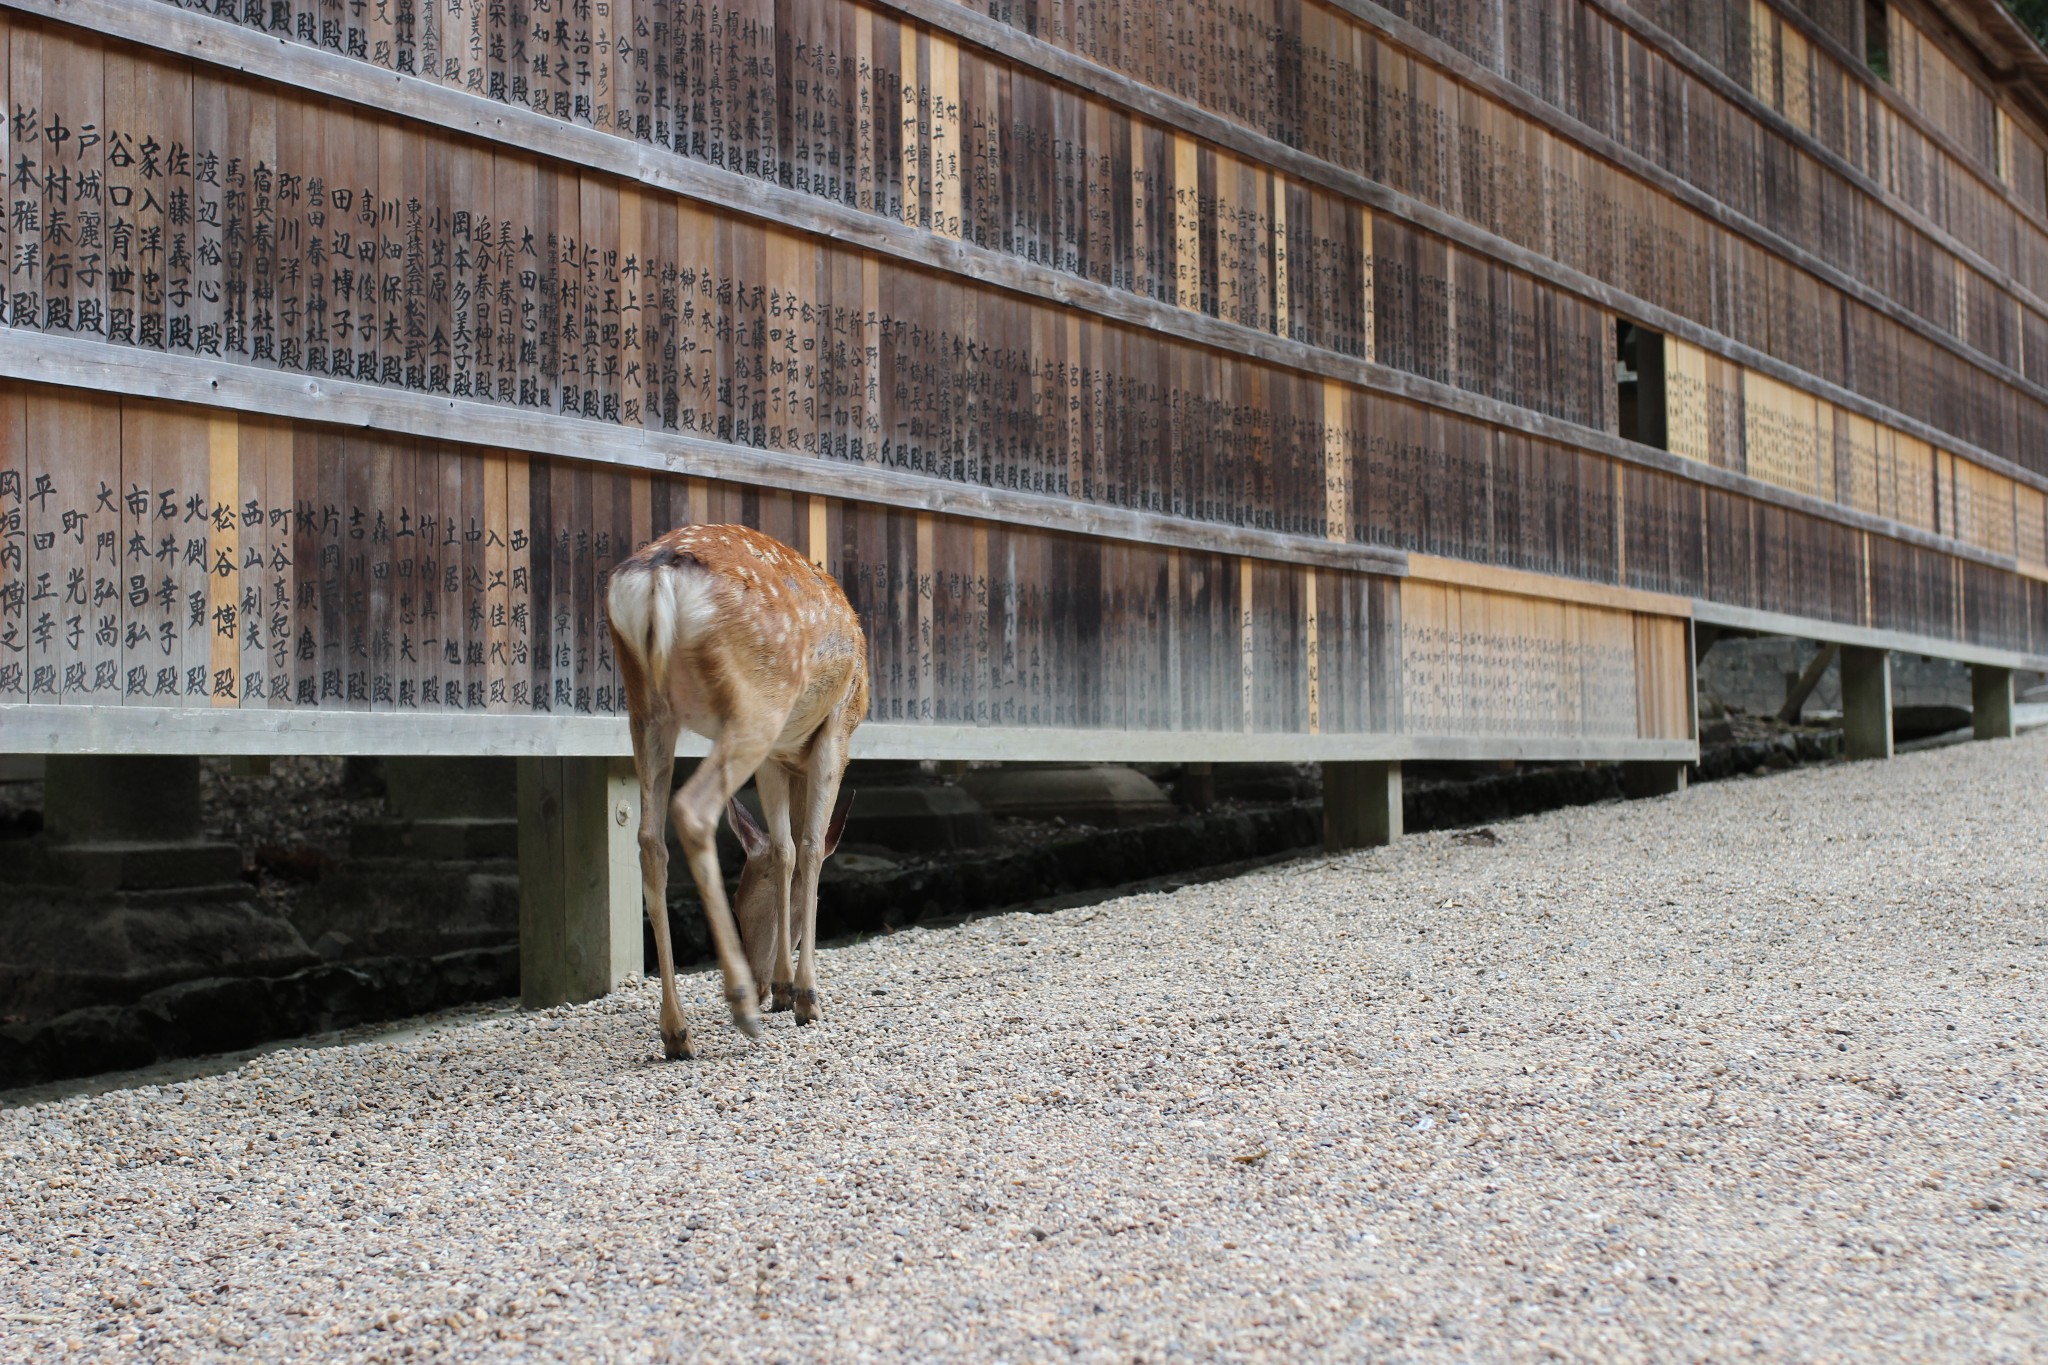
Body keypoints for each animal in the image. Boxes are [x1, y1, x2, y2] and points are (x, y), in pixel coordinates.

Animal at [602, 519, 868, 1055]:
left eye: (749, 906)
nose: (765, 982)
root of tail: (658, 576)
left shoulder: (777, 756)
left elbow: (784, 849)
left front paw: (785, 989)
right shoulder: (837, 728)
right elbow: (811, 847)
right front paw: (806, 997)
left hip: (647, 708)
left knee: (649, 840)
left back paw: (677, 1031)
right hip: (756, 702)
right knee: (692, 811)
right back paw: (741, 1006)